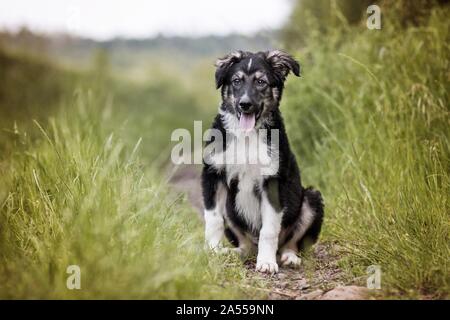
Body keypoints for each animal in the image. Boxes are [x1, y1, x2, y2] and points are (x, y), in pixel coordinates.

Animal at [201, 51, 324, 274]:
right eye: (236, 81)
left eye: (261, 82)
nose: (245, 104)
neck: (247, 136)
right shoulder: (213, 174)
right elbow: (213, 219)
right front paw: (212, 252)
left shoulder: (273, 182)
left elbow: (269, 229)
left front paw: (266, 262)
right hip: (231, 210)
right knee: (246, 245)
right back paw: (233, 253)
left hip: (311, 198)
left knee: (292, 243)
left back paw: (289, 257)